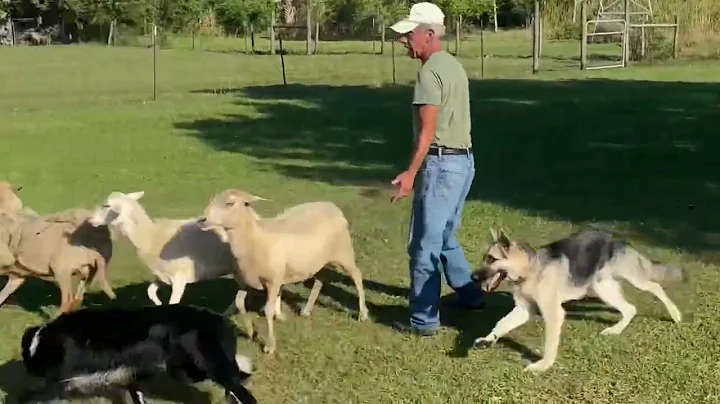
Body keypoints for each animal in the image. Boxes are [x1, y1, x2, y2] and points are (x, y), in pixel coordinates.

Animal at [86, 190, 245, 316]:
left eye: (107, 206)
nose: (90, 220)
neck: (152, 237)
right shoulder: (162, 276)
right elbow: (150, 292)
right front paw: (158, 305)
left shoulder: (179, 279)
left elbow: (172, 302)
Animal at [195, 189, 368, 354]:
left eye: (230, 203)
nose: (201, 220)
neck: (254, 238)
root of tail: (331, 206)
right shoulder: (245, 282)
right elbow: (238, 303)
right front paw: (251, 332)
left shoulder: (273, 281)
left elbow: (268, 311)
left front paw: (270, 346)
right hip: (315, 262)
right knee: (320, 280)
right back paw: (306, 310)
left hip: (344, 253)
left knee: (357, 275)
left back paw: (363, 314)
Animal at [470, 229, 684, 374]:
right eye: (486, 258)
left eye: (492, 259)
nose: (472, 277)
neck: (532, 268)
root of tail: (619, 240)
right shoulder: (523, 309)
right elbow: (502, 323)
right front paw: (489, 339)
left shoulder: (554, 314)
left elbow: (550, 343)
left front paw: (543, 365)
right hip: (603, 289)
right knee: (630, 309)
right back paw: (615, 330)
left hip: (632, 279)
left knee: (655, 287)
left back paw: (675, 313)